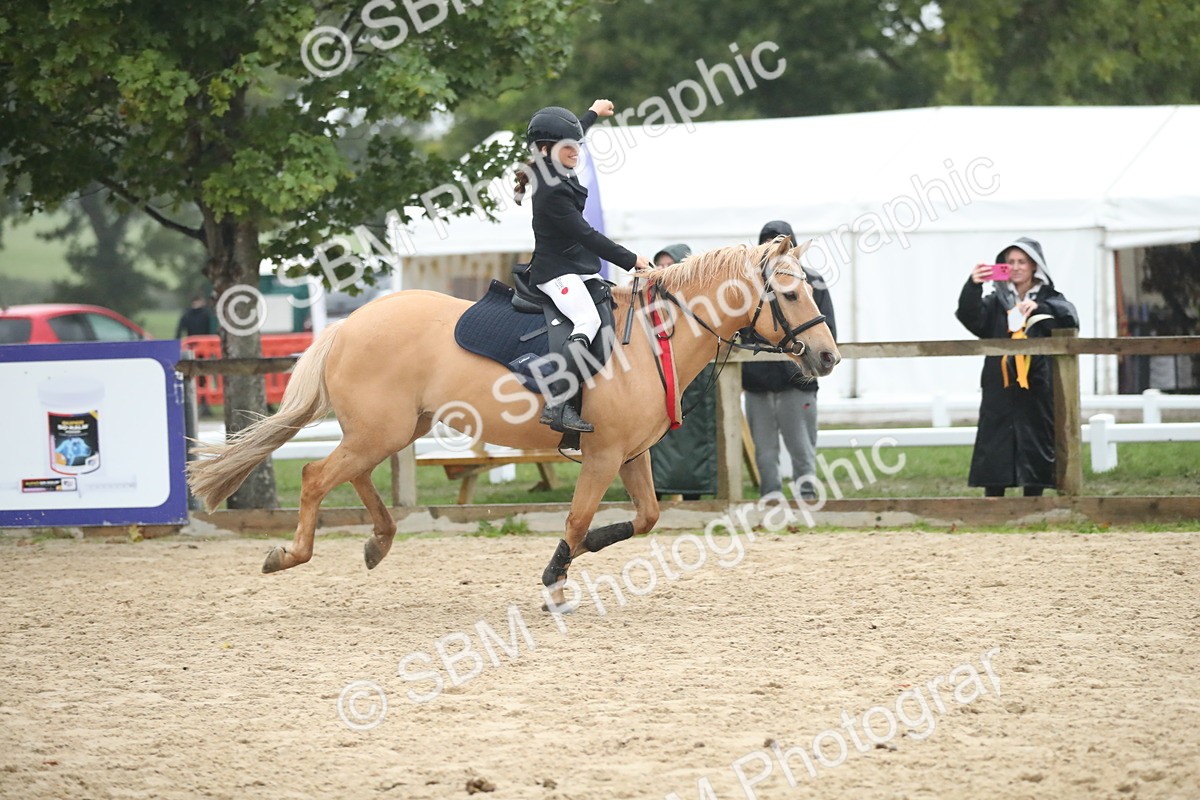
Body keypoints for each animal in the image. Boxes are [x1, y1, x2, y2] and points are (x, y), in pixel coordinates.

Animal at [188, 236, 841, 607]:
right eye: (789, 294)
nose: (828, 357)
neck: (658, 335)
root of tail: (349, 324)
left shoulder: (632, 455)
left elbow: (646, 517)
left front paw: (582, 554)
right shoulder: (603, 455)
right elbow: (577, 519)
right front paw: (556, 579)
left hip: (394, 431)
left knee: (351, 476)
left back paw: (378, 541)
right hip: (381, 431)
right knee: (316, 478)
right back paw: (291, 555)